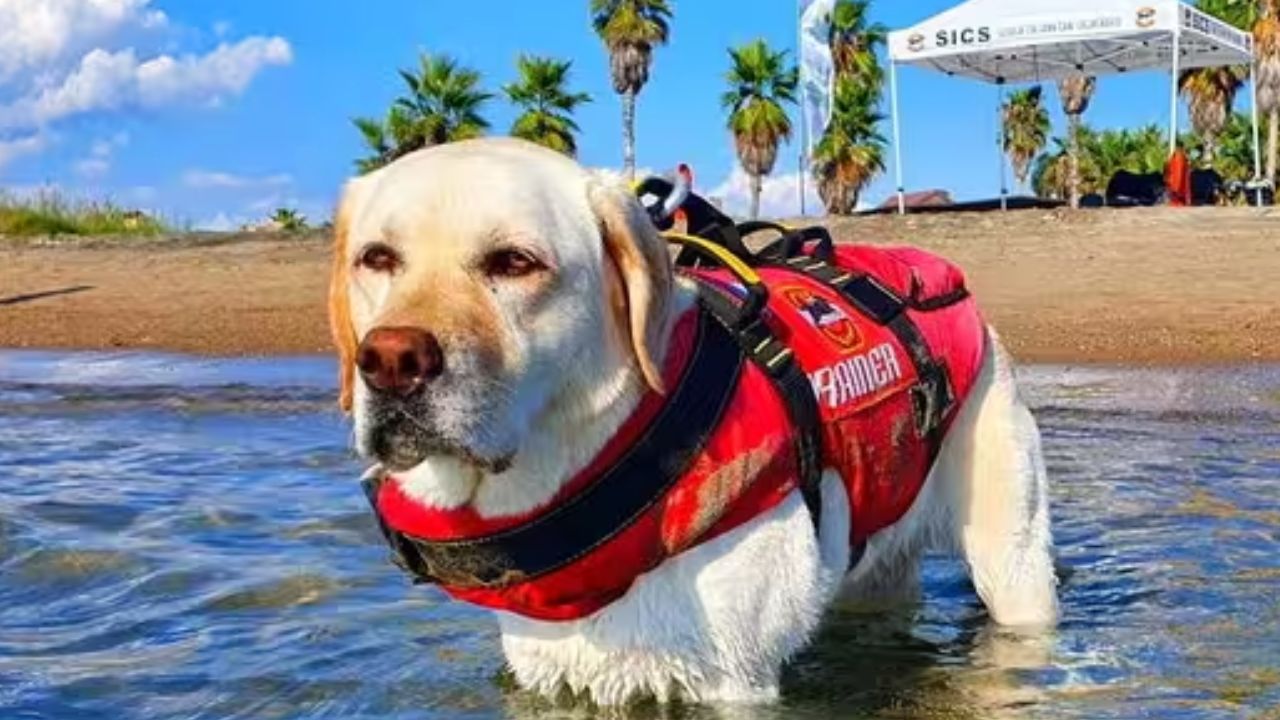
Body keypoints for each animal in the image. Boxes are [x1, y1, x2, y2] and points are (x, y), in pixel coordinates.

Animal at [332, 137, 1059, 702]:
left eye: (514, 262)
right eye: (376, 258)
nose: (391, 361)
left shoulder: (732, 679)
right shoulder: (550, 674)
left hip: (1011, 558)